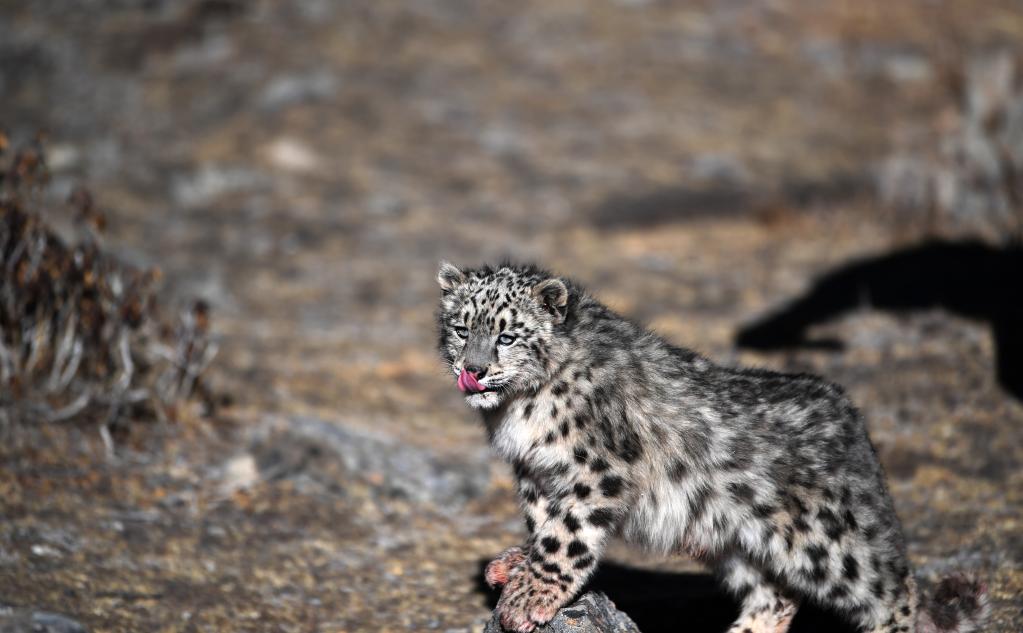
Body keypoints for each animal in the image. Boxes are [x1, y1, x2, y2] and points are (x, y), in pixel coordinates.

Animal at [435, 261, 986, 633]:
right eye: (462, 328)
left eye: (507, 336)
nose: (473, 370)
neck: (518, 410)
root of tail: (855, 422)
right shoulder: (535, 473)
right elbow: (542, 523)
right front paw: (516, 565)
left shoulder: (596, 470)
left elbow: (565, 535)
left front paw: (530, 595)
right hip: (737, 543)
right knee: (775, 597)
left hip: (827, 543)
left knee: (895, 591)